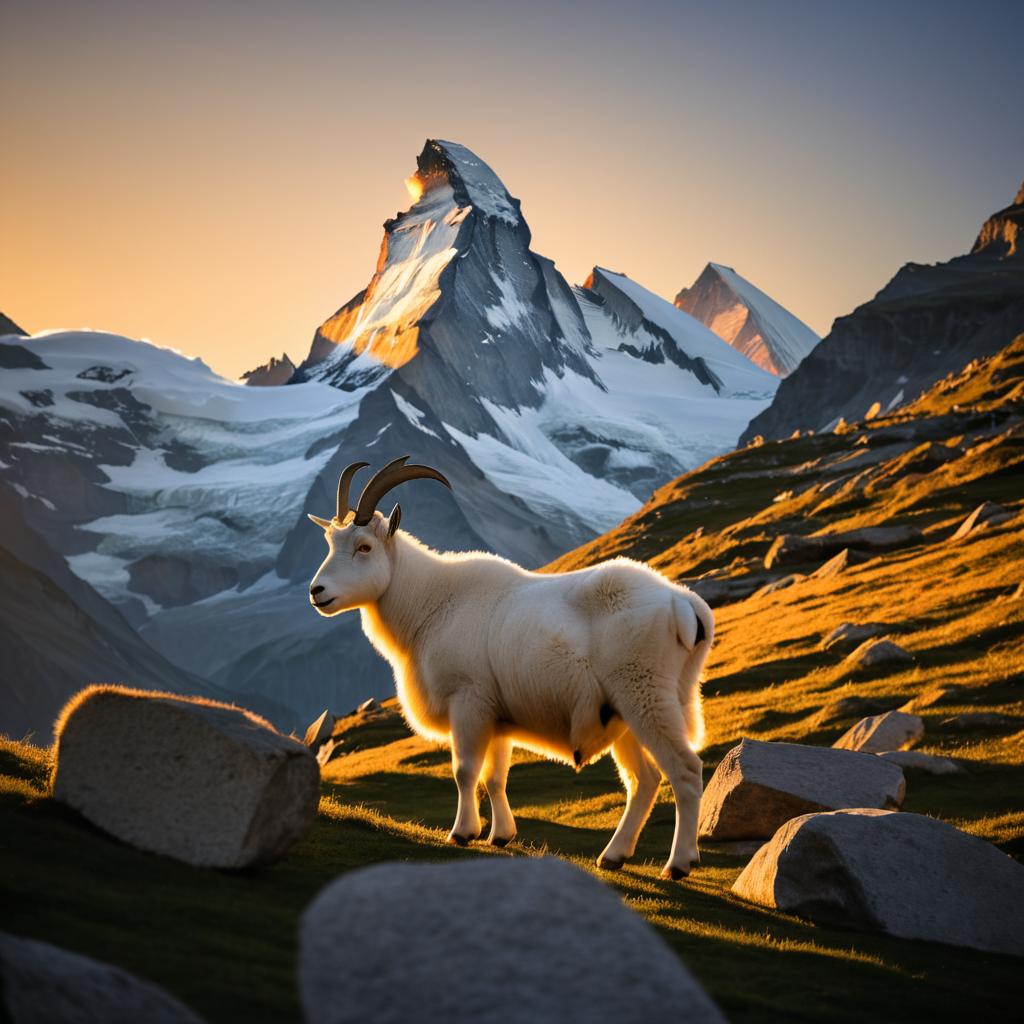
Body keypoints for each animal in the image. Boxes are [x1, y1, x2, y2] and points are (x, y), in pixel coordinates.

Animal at [307, 458, 716, 880]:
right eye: (330, 543)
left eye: (364, 547)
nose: (317, 592)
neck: (432, 603)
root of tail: (683, 604)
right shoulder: (496, 716)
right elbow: (494, 776)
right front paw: (500, 836)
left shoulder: (468, 701)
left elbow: (465, 770)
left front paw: (462, 832)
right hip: (619, 712)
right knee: (644, 780)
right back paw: (613, 856)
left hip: (646, 695)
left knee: (685, 770)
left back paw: (679, 863)